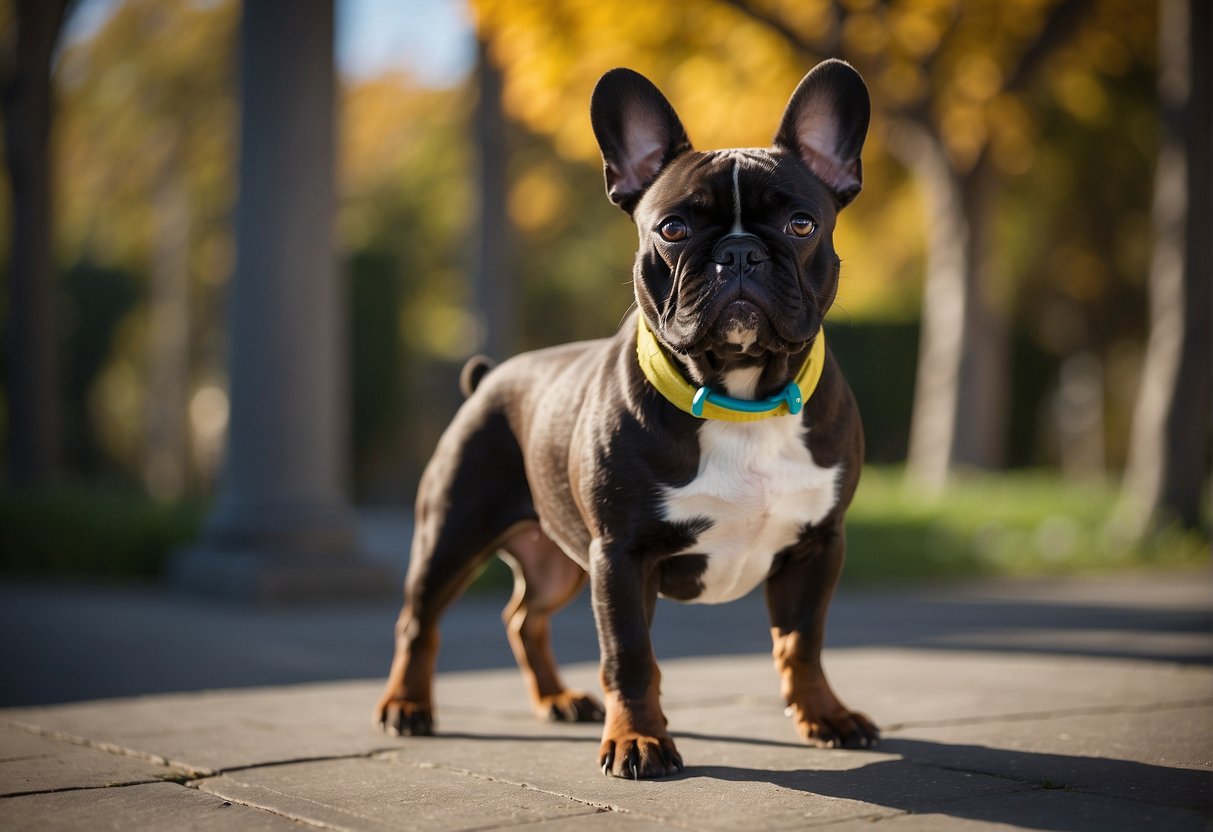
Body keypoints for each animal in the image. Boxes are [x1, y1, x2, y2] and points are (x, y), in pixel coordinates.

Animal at [373, 60, 878, 781]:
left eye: (803, 225)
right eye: (672, 230)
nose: (740, 252)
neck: (739, 395)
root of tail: (491, 377)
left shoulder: (816, 546)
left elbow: (801, 643)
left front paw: (825, 716)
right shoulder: (620, 554)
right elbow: (631, 656)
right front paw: (638, 740)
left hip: (560, 555)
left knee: (523, 616)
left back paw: (557, 700)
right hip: (453, 530)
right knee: (419, 620)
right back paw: (407, 706)